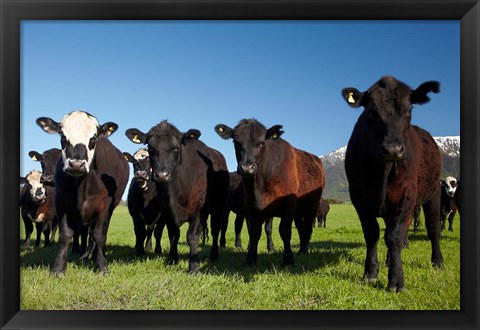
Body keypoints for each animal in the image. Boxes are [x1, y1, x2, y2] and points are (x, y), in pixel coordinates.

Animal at [124, 120, 229, 272]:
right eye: (150, 147)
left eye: (176, 148)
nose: (162, 175)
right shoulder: (167, 210)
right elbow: (173, 234)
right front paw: (172, 260)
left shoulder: (197, 208)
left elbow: (192, 236)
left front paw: (194, 266)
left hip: (218, 207)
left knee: (215, 231)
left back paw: (214, 255)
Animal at [215, 118, 324, 266]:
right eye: (236, 142)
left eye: (261, 143)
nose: (247, 168)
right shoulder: (252, 206)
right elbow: (255, 232)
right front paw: (250, 259)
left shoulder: (289, 204)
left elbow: (284, 230)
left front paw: (288, 259)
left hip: (313, 207)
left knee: (307, 228)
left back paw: (304, 251)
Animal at [344, 75, 444, 292]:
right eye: (370, 111)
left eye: (410, 108)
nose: (393, 149)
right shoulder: (358, 198)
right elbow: (372, 233)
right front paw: (370, 272)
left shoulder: (405, 196)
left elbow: (395, 236)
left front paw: (396, 280)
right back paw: (389, 260)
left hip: (433, 194)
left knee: (433, 228)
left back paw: (438, 261)